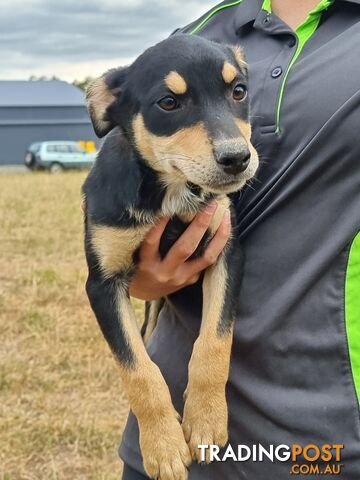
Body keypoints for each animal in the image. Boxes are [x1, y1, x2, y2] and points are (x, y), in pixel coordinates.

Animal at [83, 33, 258, 480]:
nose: (237, 158)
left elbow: (215, 343)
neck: (170, 193)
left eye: (238, 92)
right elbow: (138, 370)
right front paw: (162, 445)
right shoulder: (102, 285)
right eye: (168, 103)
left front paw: (206, 420)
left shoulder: (227, 254)